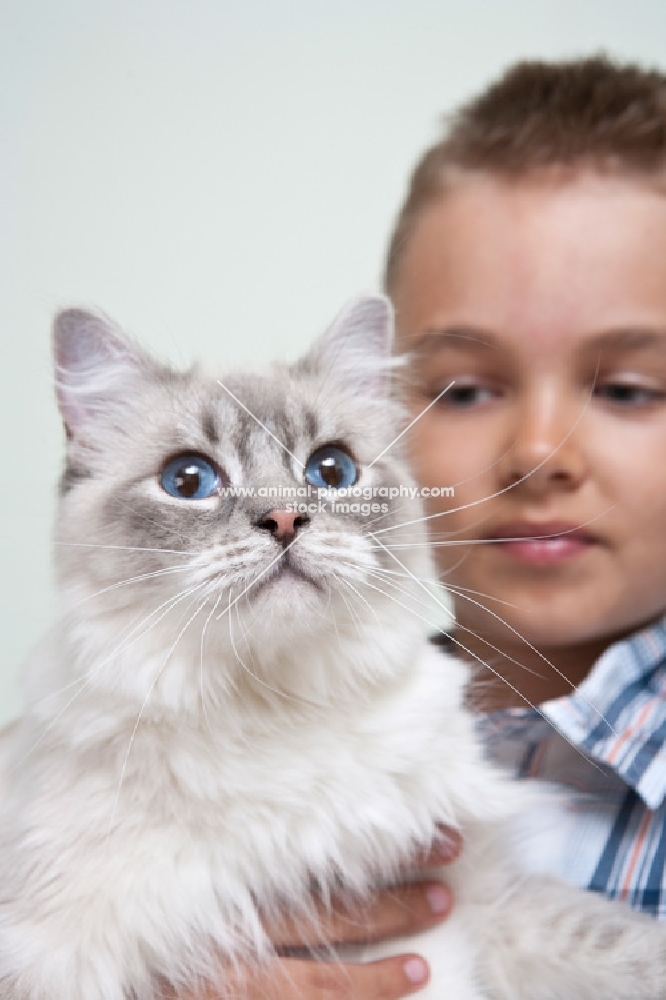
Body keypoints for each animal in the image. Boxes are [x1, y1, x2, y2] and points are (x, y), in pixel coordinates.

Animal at [1, 292, 664, 1000]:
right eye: (188, 480)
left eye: (330, 469)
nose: (285, 520)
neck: (282, 702)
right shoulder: (58, 962)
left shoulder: (480, 888)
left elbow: (621, 941)